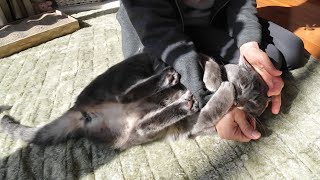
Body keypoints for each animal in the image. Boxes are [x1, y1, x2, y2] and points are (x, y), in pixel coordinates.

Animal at [0, 52, 270, 150]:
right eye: (245, 86)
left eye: (254, 107)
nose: (242, 100)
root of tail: (79, 112)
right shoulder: (197, 57)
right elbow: (208, 62)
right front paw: (218, 82)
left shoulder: (200, 125)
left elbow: (213, 108)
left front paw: (220, 92)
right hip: (130, 68)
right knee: (127, 94)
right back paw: (169, 80)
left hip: (133, 134)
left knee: (143, 123)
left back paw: (181, 103)